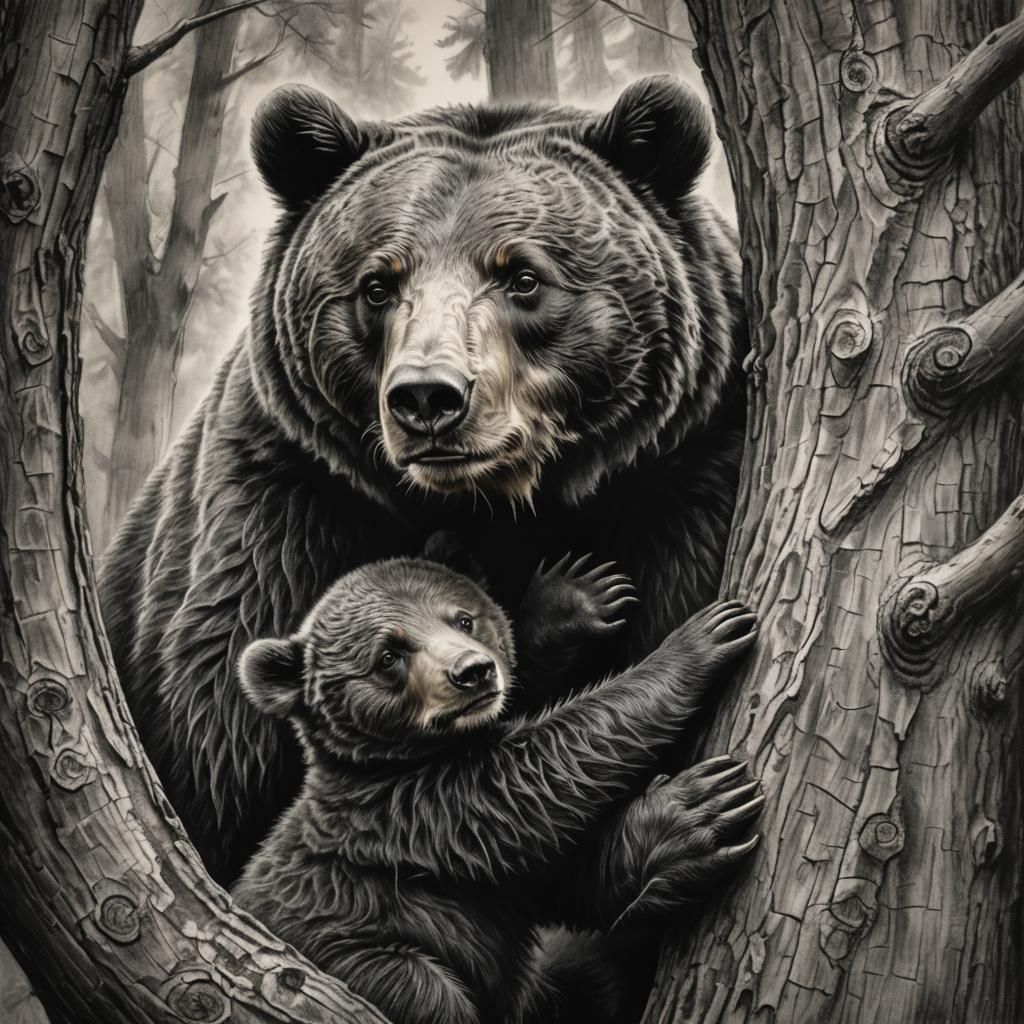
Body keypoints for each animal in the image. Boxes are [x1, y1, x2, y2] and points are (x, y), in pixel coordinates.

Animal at [98, 74, 747, 891]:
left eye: (523, 276)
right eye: (378, 285)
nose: (428, 397)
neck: (502, 501)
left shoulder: (681, 479)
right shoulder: (290, 504)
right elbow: (224, 743)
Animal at [231, 556, 761, 1024]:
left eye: (463, 619)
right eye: (388, 656)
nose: (473, 671)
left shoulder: (489, 875)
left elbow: (569, 881)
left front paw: (576, 598)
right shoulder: (414, 811)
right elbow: (543, 772)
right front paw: (703, 637)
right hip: (354, 950)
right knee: (428, 993)